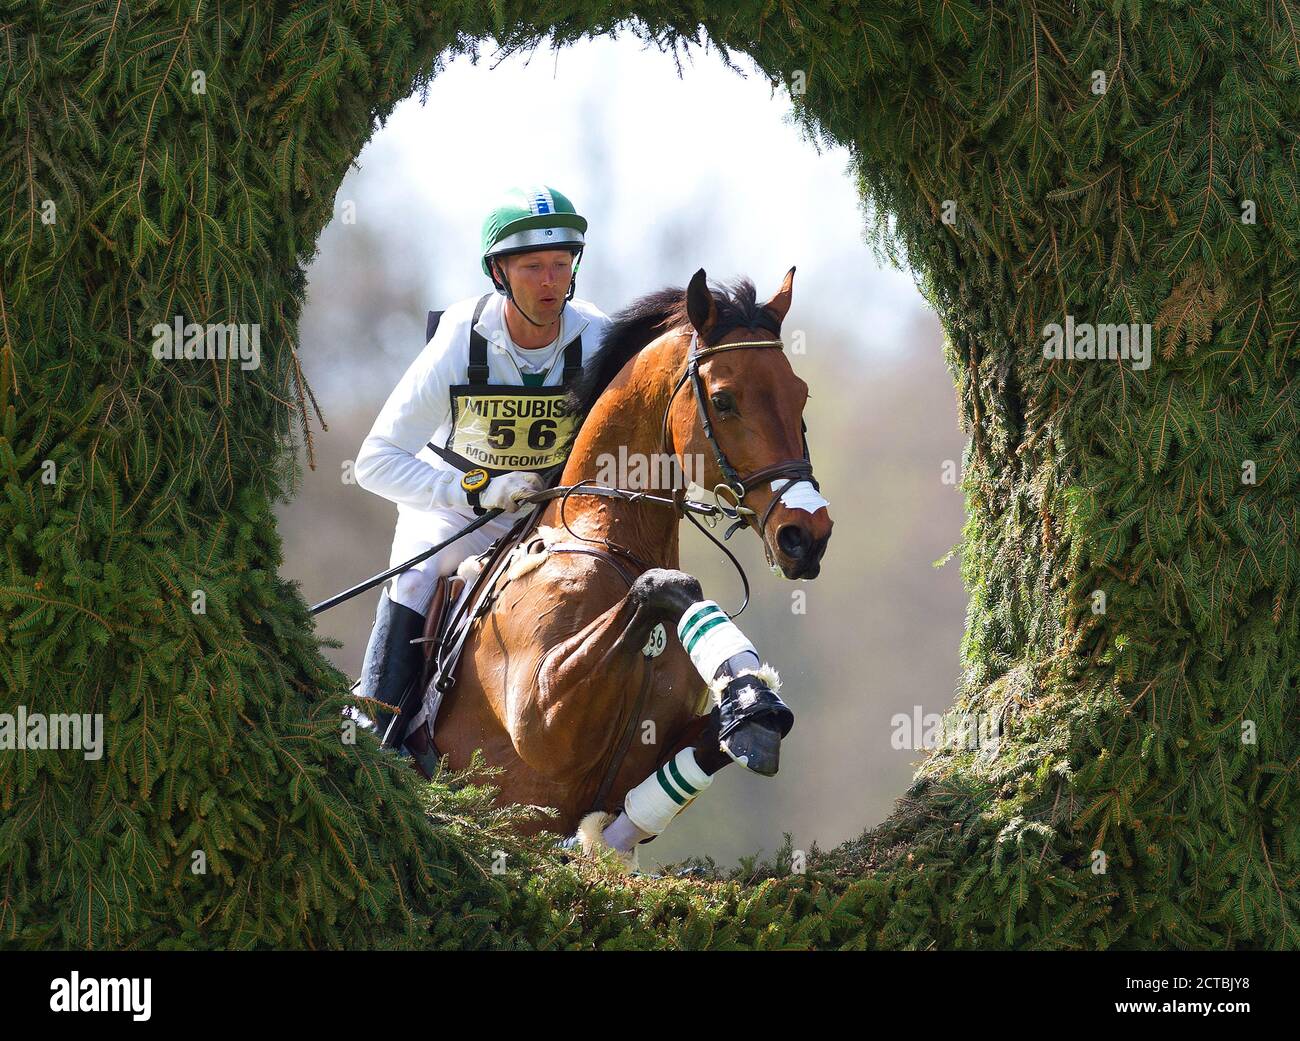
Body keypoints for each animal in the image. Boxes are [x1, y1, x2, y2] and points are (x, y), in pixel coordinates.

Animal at [426, 267, 832, 862]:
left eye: (800, 394)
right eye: (724, 400)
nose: (808, 535)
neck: (614, 544)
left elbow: (698, 755)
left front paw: (751, 701)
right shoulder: (540, 716)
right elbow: (666, 583)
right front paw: (749, 689)